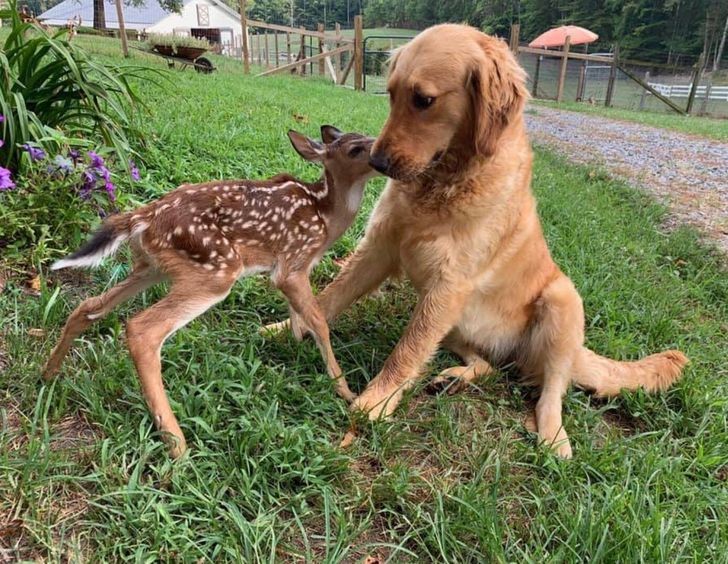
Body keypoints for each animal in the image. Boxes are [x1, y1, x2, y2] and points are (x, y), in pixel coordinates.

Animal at [44, 124, 376, 458]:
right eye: (355, 149)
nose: (382, 155)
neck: (325, 217)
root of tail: (143, 217)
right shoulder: (292, 263)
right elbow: (318, 320)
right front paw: (345, 391)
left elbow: (299, 315)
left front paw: (295, 343)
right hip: (215, 270)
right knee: (142, 328)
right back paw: (177, 445)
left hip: (152, 267)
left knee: (89, 305)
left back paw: (48, 374)